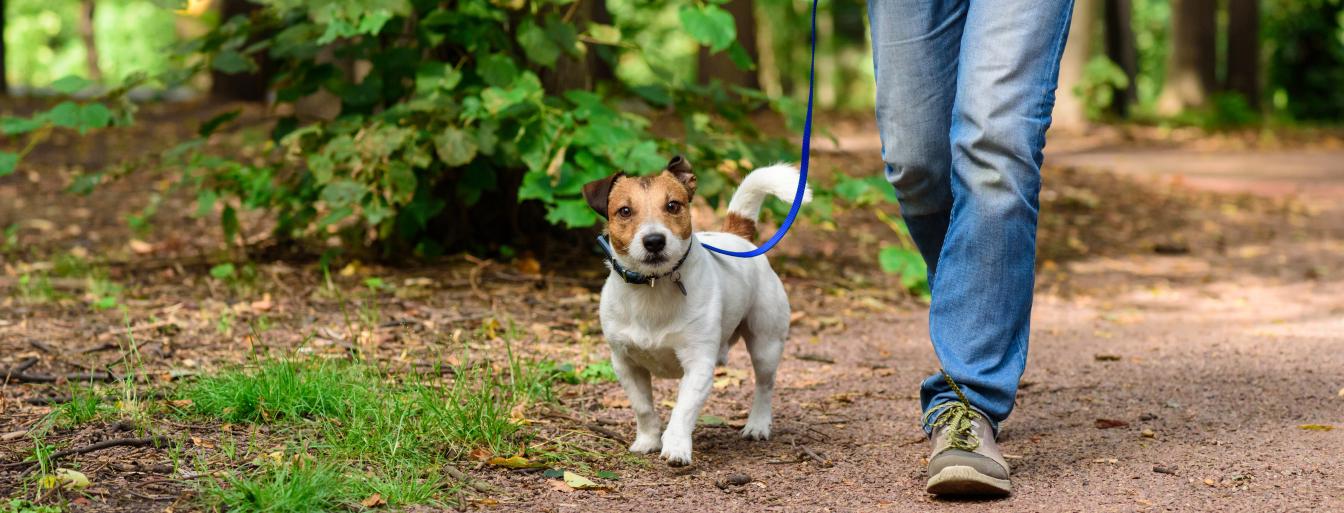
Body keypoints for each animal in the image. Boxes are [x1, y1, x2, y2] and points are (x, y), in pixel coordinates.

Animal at [577, 155, 806, 464]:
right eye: (624, 211)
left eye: (673, 205)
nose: (654, 241)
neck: (653, 287)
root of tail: (737, 235)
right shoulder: (625, 364)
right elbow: (643, 408)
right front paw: (648, 441)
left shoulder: (697, 364)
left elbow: (682, 410)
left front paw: (676, 447)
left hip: (766, 344)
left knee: (764, 385)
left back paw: (757, 424)